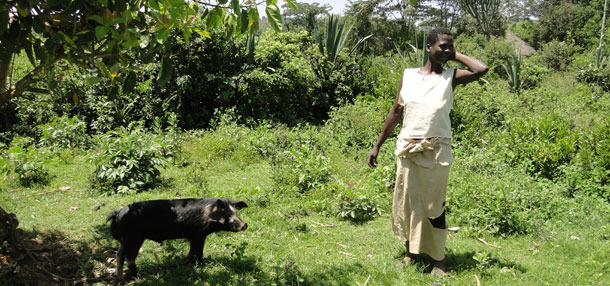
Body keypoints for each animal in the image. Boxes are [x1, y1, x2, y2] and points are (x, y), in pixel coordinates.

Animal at [107, 198, 247, 278]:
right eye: (226, 214)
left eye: (235, 212)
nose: (244, 225)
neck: (208, 215)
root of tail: (118, 213)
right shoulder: (199, 234)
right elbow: (199, 251)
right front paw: (203, 264)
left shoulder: (193, 236)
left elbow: (192, 250)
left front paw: (188, 261)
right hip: (133, 239)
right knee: (129, 258)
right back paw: (138, 276)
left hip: (125, 240)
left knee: (119, 254)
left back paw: (118, 276)